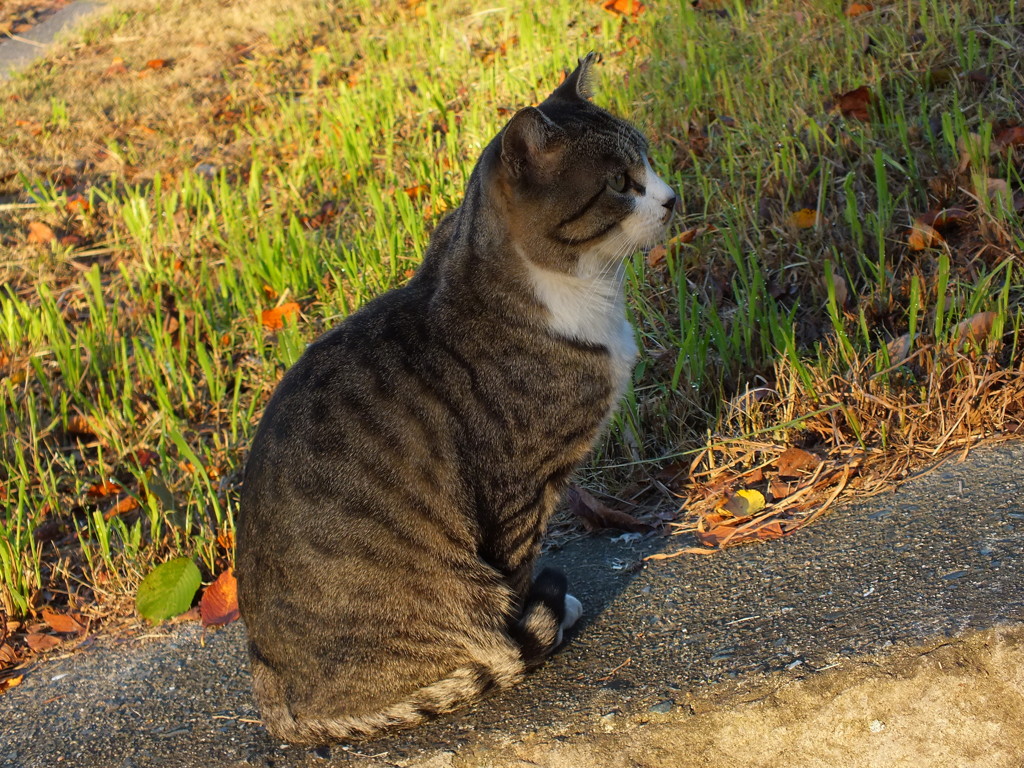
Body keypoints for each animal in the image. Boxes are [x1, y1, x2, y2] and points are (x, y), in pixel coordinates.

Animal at [235, 52, 675, 745]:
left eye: (649, 163)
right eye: (620, 183)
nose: (673, 198)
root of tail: (273, 689)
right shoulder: (519, 489)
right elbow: (520, 568)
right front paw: (540, 617)